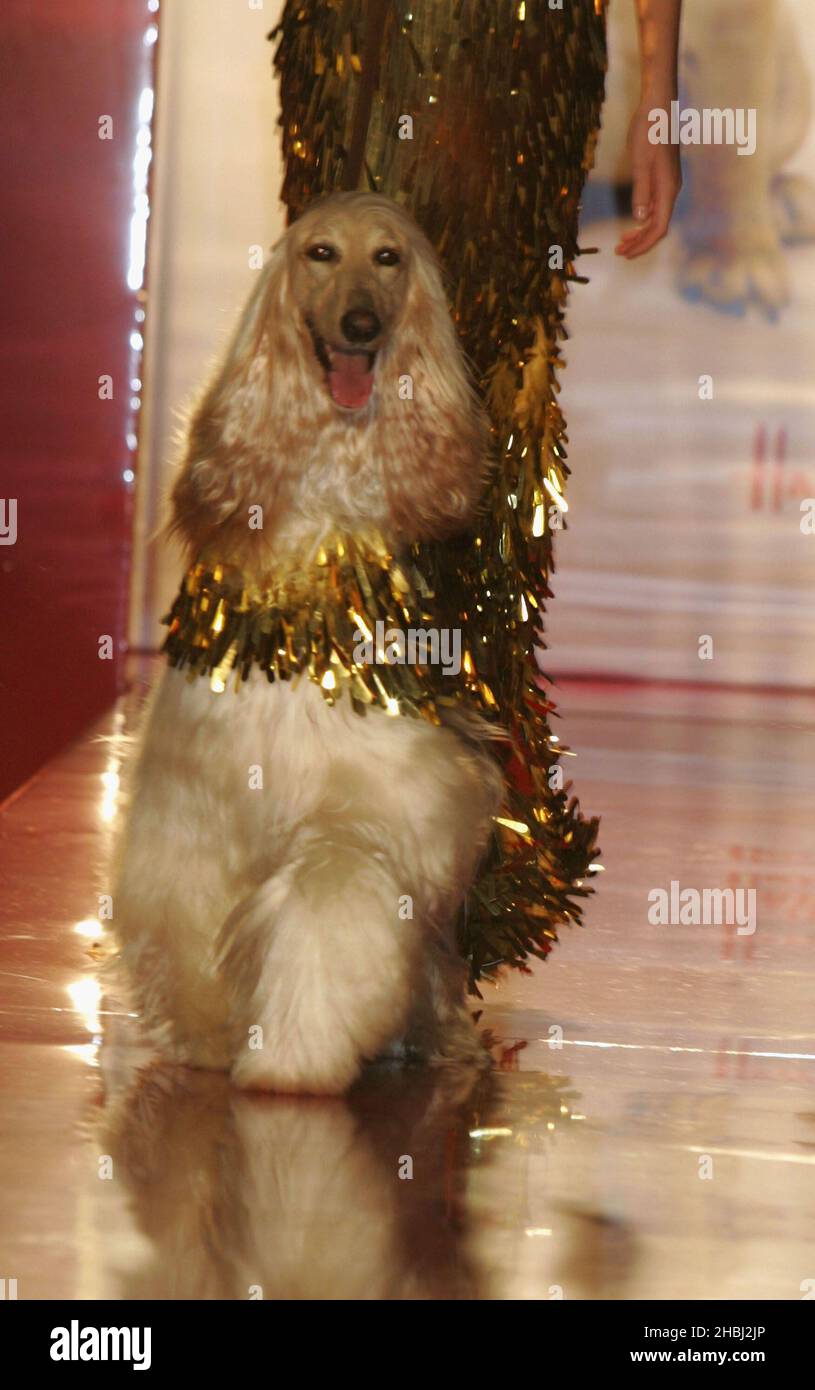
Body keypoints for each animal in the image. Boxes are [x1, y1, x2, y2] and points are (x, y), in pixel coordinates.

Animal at [111, 190, 497, 1089]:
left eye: (389, 257)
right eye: (321, 252)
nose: (360, 324)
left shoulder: (373, 806)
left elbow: (331, 905)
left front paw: (290, 1056)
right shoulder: (193, 815)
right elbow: (189, 933)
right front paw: (210, 1036)